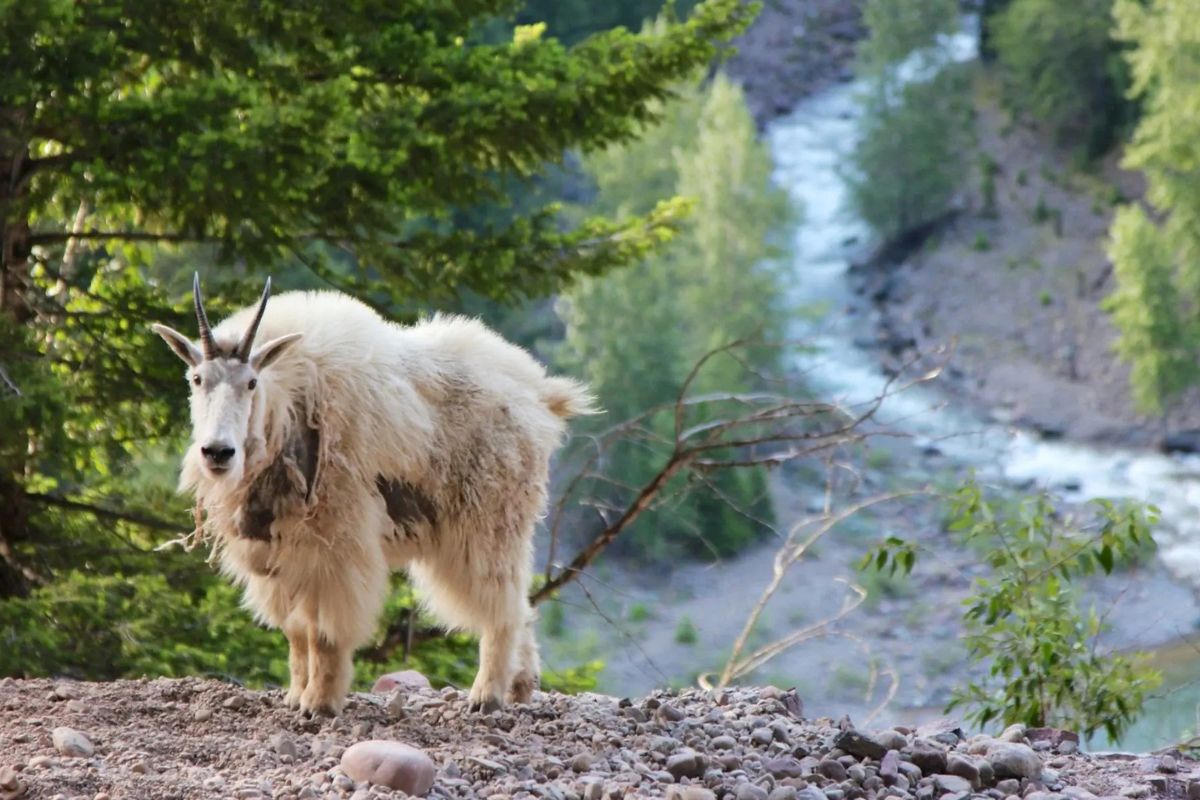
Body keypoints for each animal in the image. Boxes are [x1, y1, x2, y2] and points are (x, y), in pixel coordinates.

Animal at [152, 275, 592, 715]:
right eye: (196, 379)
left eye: (251, 382)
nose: (217, 452)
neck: (287, 409)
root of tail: (540, 395)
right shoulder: (280, 551)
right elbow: (296, 631)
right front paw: (296, 696)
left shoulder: (336, 542)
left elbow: (324, 631)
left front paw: (320, 703)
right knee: (522, 605)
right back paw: (521, 685)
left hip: (489, 520)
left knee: (503, 604)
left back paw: (488, 695)